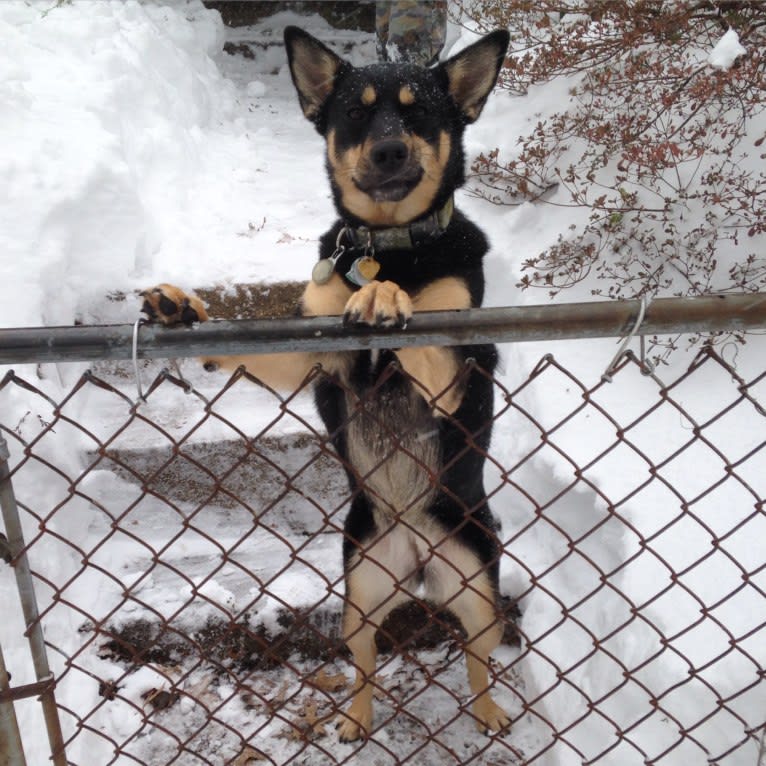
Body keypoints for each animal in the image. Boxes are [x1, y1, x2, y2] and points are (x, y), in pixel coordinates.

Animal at [142, 25, 516, 744]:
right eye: (355, 114)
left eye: (421, 114)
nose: (390, 149)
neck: (388, 242)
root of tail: (416, 556)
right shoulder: (312, 353)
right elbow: (252, 339)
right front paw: (186, 313)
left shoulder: (452, 365)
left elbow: (415, 319)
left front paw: (384, 295)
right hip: (359, 597)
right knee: (365, 661)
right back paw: (354, 718)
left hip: (480, 591)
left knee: (477, 657)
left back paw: (487, 710)